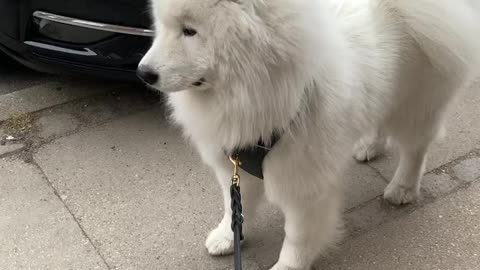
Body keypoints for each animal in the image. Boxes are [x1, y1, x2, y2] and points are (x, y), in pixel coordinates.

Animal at [139, 1, 480, 268]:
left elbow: (297, 236)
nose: (143, 73)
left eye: (189, 31)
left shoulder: (304, 181)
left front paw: (286, 266)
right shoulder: (234, 163)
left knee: (415, 148)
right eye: (163, 26)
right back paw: (369, 145)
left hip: (415, 104)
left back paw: (402, 188)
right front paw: (227, 237)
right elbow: (234, 206)